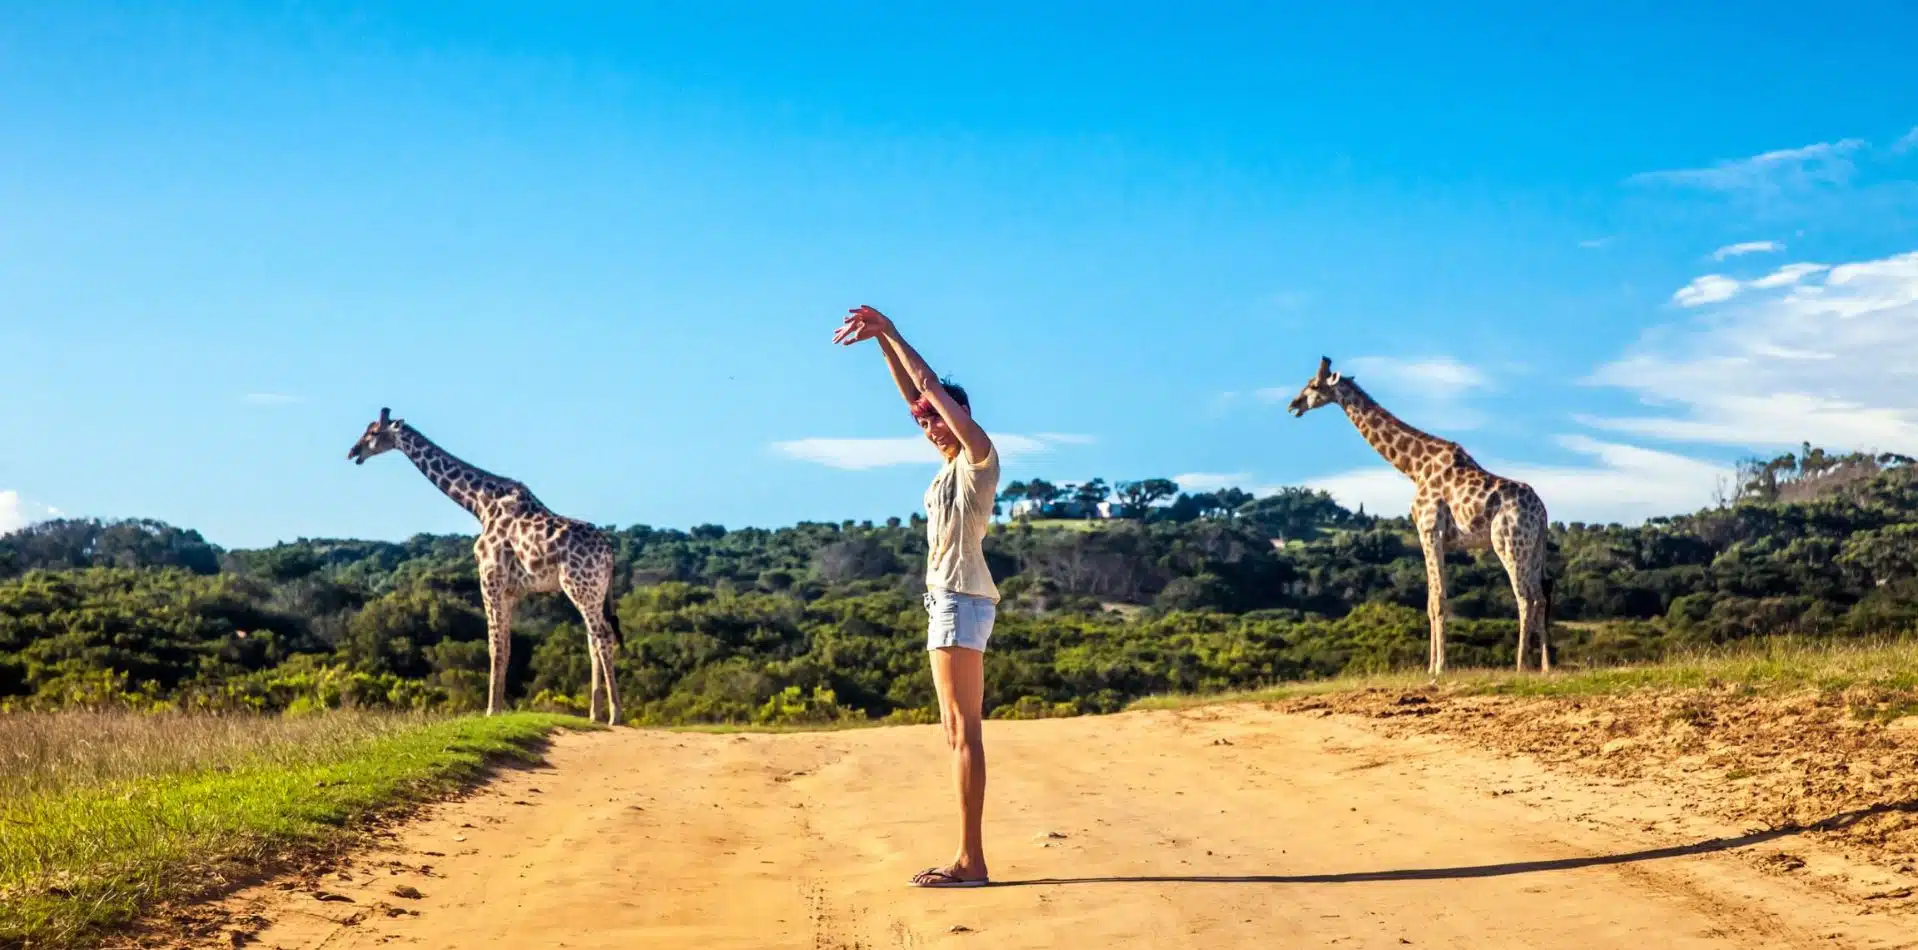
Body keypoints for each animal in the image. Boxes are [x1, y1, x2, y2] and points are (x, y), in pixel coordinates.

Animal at [341, 406, 617, 721]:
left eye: (373, 432)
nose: (353, 452)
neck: (480, 505)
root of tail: (610, 553)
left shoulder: (490, 580)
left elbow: (494, 646)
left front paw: (491, 710)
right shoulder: (510, 591)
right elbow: (505, 646)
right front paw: (498, 708)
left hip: (581, 587)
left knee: (603, 637)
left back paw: (615, 714)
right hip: (593, 593)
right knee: (594, 640)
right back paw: (595, 714)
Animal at [1281, 356, 1549, 675]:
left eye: (1313, 385)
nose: (1293, 405)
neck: (1414, 467)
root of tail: (1542, 512)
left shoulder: (1430, 530)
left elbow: (1438, 600)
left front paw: (1440, 668)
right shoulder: (1437, 538)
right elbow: (1431, 601)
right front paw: (1430, 667)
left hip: (1508, 543)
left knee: (1525, 598)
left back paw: (1521, 665)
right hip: (1535, 548)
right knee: (1541, 597)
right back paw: (1546, 666)